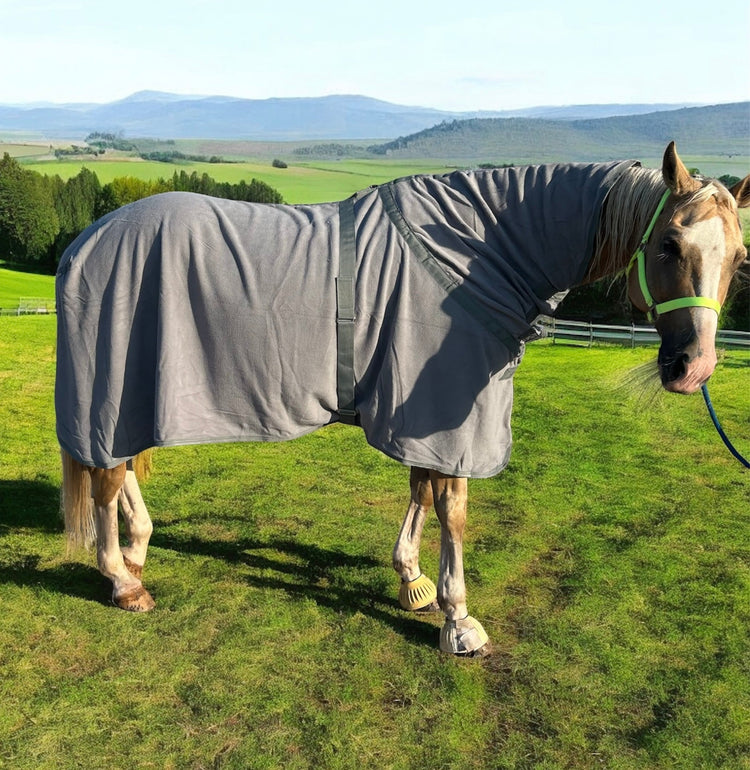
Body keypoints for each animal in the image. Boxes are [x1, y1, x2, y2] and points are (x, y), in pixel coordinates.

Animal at [57, 143, 749, 656]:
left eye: (739, 256)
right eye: (669, 244)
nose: (693, 368)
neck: (478, 253)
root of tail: (86, 240)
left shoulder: (423, 415)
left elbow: (420, 489)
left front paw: (412, 580)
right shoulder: (448, 418)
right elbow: (453, 509)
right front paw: (457, 619)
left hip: (131, 389)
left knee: (117, 466)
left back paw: (138, 551)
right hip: (112, 382)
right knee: (106, 475)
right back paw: (121, 581)